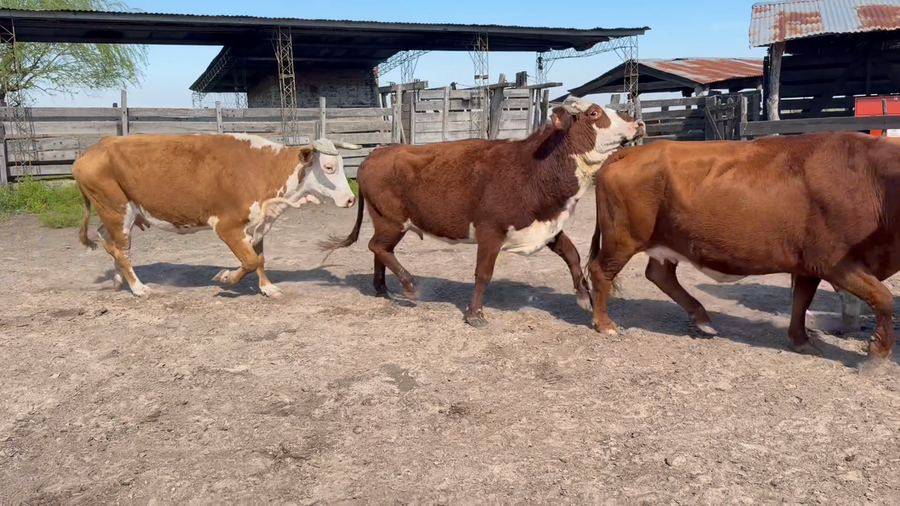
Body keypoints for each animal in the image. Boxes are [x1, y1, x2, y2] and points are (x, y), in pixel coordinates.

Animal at [73, 133, 361, 298]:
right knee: (121, 250)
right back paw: (138, 287)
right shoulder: (227, 227)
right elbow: (250, 261)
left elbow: (260, 258)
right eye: (329, 167)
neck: (263, 168)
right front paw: (226, 277)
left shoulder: (259, 223)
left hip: (115, 214)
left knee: (109, 243)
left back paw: (118, 281)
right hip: (117, 211)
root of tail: (87, 154)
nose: (351, 199)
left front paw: (267, 288)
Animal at [320, 96, 645, 327]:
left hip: (385, 221)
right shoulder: (491, 230)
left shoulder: (544, 224)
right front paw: (475, 313)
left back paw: (382, 288)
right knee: (378, 247)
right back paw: (409, 285)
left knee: (380, 249)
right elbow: (483, 273)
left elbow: (573, 255)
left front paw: (582, 295)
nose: (639, 123)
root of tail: (376, 153)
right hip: (391, 220)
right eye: (594, 113)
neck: (530, 168)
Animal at [586, 131, 900, 362]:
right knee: (601, 271)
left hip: (664, 241)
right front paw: (877, 354)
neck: (873, 182)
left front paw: (801, 340)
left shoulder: (807, 263)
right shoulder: (832, 260)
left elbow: (802, 300)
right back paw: (604, 324)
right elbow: (884, 298)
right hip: (623, 238)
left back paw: (702, 319)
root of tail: (630, 152)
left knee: (660, 275)